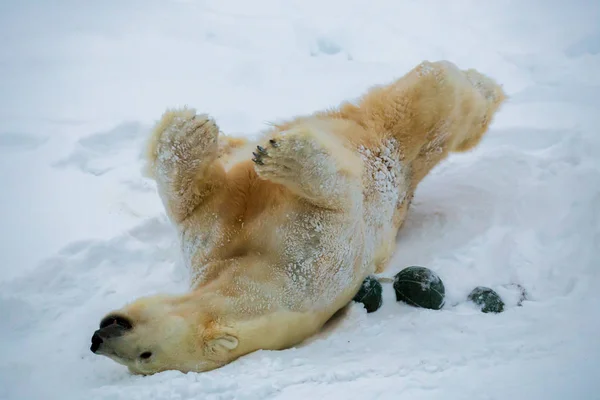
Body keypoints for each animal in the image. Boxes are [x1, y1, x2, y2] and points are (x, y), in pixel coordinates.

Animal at [90, 60, 506, 376]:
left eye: (145, 355)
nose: (98, 339)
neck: (247, 279)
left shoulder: (309, 260)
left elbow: (333, 200)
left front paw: (275, 157)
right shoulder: (216, 247)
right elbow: (200, 200)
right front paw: (191, 131)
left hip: (392, 147)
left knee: (431, 103)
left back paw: (480, 83)